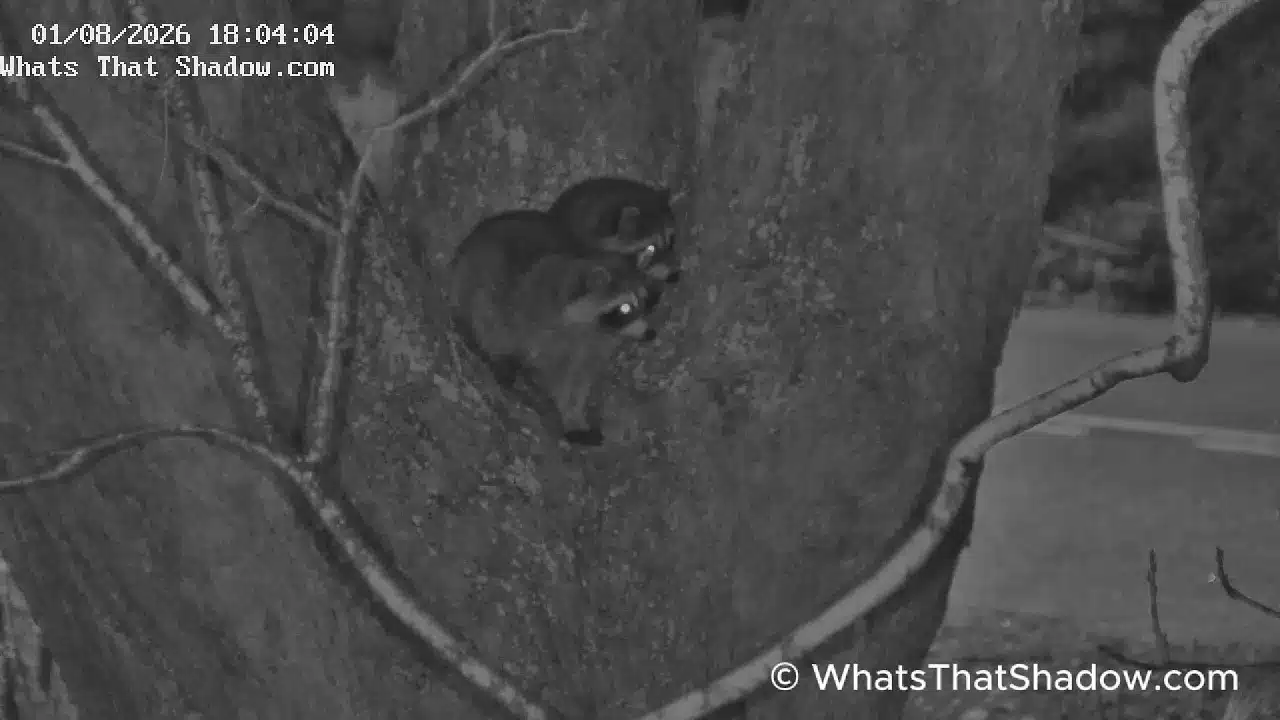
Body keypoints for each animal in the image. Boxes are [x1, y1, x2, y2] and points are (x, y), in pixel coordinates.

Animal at [449, 209, 659, 446]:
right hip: (473, 266)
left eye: (644, 300)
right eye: (624, 307)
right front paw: (499, 358)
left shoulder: (589, 350)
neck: (592, 328)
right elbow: (493, 320)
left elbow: (575, 383)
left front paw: (573, 416)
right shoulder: (525, 304)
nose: (650, 333)